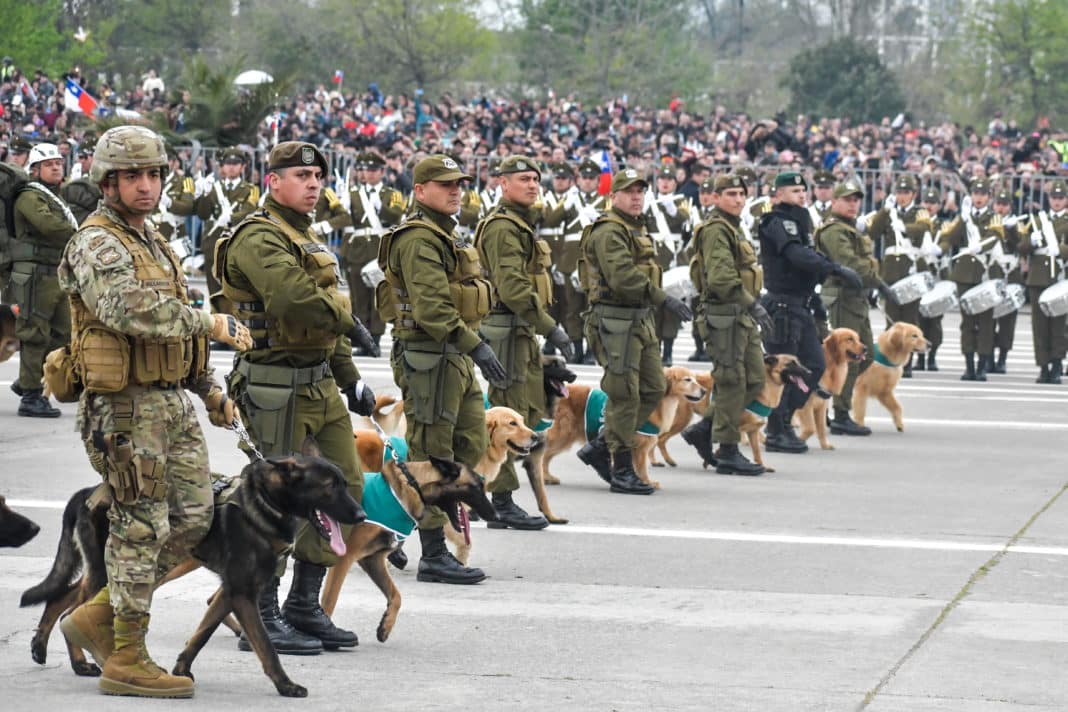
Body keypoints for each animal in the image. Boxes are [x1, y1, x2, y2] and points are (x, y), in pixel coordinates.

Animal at [19, 437, 363, 700]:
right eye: (329, 486)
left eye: (344, 484)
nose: (360, 515)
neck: (265, 502)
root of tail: (89, 491)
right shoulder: (242, 593)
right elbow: (266, 647)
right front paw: (286, 685)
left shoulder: (230, 592)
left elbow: (202, 632)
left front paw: (181, 669)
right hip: (120, 570)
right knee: (70, 609)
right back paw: (77, 661)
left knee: (64, 597)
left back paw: (43, 647)